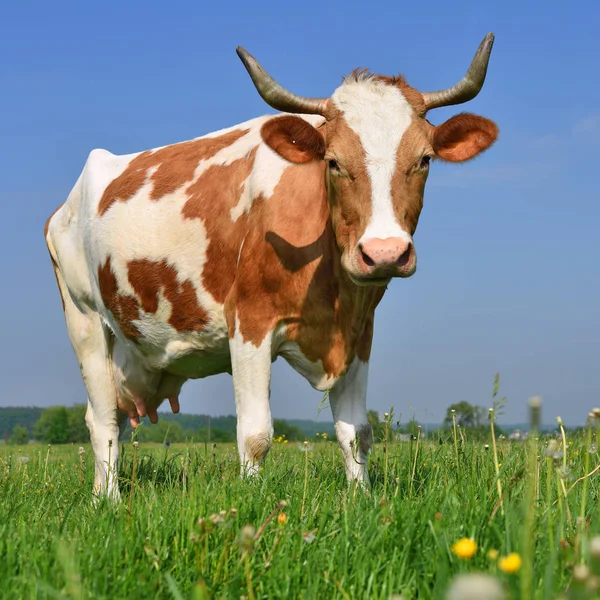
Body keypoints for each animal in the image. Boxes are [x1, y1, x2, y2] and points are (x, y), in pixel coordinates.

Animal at [44, 34, 500, 502]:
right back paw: (107, 499)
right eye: (333, 161)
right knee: (103, 421)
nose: (385, 252)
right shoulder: (249, 322)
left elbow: (357, 432)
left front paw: (361, 498)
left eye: (424, 159)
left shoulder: (360, 332)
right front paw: (250, 499)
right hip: (84, 319)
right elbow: (256, 434)